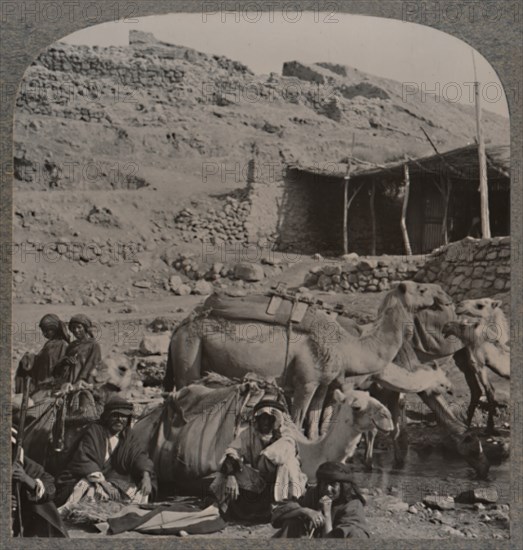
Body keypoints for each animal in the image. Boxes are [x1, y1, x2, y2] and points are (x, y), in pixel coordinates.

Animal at [444, 298, 510, 436]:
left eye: (480, 305)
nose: (458, 305)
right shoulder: (476, 365)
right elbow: (488, 390)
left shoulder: (478, 364)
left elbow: (490, 390)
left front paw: (490, 428)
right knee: (476, 390)